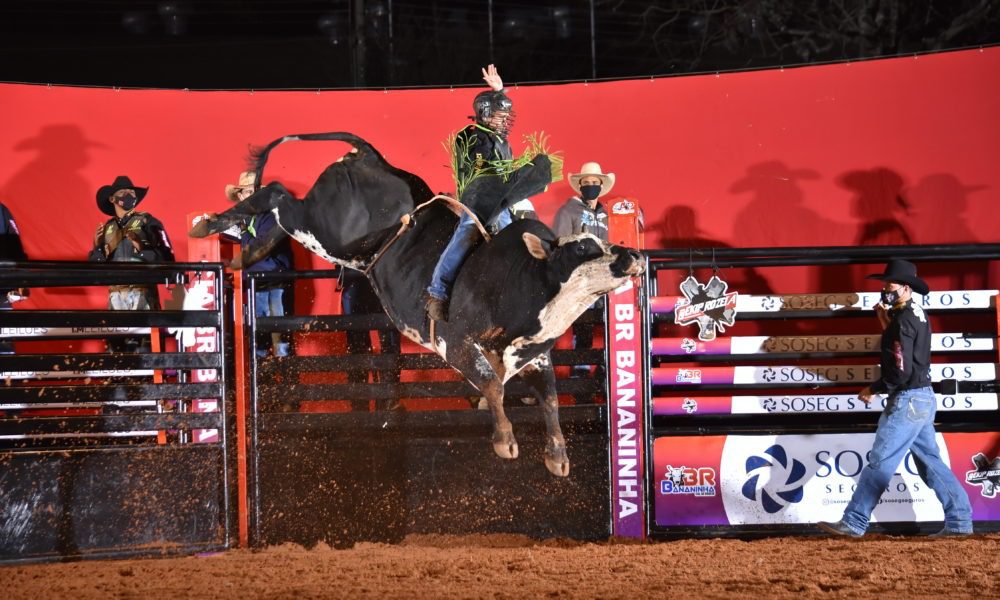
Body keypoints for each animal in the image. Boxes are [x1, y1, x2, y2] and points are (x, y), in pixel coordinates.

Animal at [191, 134, 644, 476]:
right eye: (582, 248)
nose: (631, 255)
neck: (523, 280)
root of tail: (372, 159)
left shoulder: (532, 356)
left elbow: (549, 397)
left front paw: (557, 456)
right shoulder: (456, 344)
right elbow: (493, 385)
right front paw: (505, 441)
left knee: (279, 205)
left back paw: (247, 251)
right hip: (325, 229)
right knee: (277, 194)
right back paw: (209, 225)